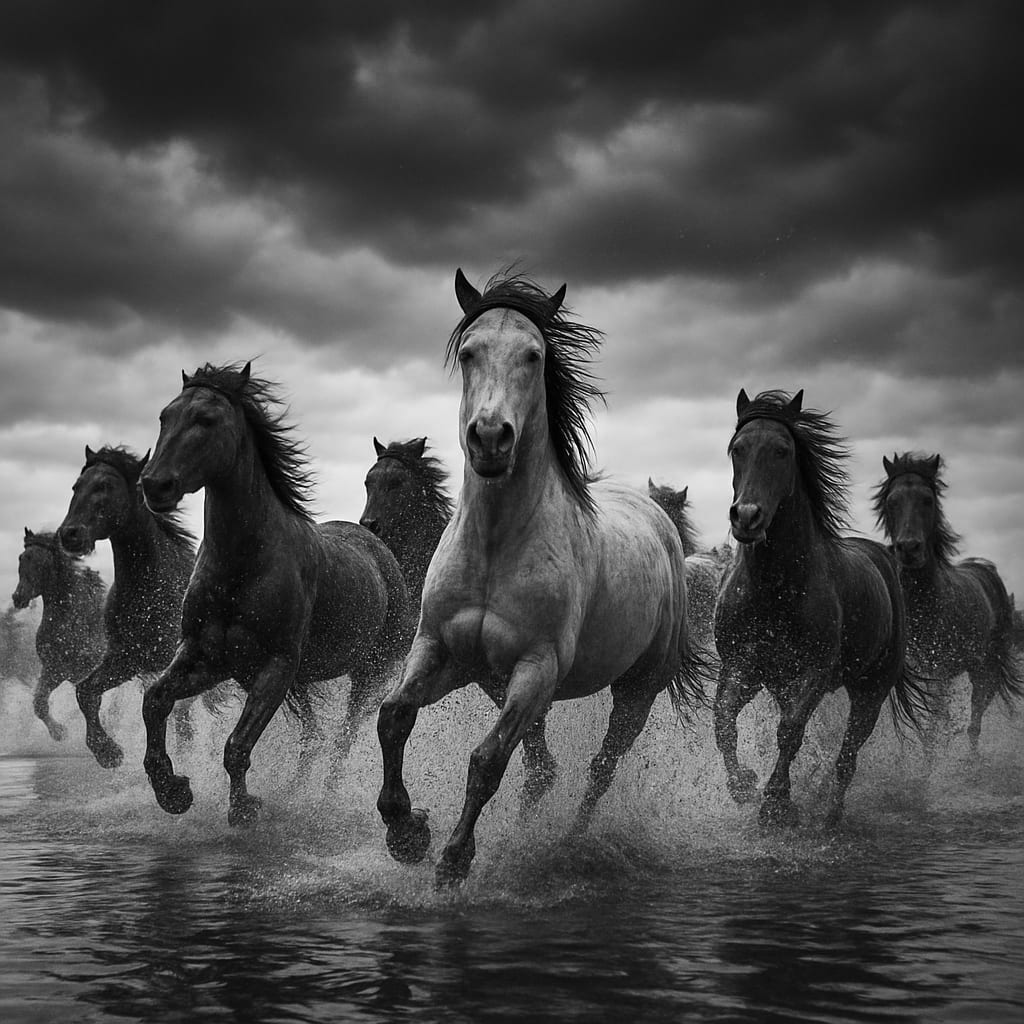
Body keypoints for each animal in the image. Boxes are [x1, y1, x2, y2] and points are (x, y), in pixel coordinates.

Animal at [11, 529, 106, 739]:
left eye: (41, 561)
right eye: (21, 557)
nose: (18, 597)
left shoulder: (81, 672)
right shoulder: (53, 670)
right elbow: (39, 703)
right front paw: (59, 732)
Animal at [57, 445, 199, 767]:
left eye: (105, 486)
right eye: (75, 487)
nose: (69, 534)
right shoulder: (127, 658)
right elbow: (85, 691)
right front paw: (107, 751)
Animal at [138, 361, 412, 827]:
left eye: (206, 419)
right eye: (164, 416)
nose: (155, 484)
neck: (242, 564)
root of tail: (380, 548)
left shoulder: (277, 667)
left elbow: (236, 746)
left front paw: (244, 809)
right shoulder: (207, 658)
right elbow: (154, 701)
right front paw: (173, 790)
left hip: (371, 673)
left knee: (344, 736)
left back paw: (325, 795)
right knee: (314, 737)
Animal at [714, 389, 921, 828]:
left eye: (782, 450)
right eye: (737, 448)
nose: (746, 517)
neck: (775, 587)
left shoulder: (814, 669)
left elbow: (789, 731)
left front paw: (777, 804)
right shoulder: (742, 665)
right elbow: (723, 722)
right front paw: (744, 786)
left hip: (871, 689)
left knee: (849, 752)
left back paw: (829, 809)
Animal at [873, 452, 1022, 757]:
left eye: (927, 500)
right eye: (892, 501)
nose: (909, 548)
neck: (924, 606)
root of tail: (984, 569)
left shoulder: (937, 673)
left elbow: (932, 728)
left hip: (984, 668)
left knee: (976, 716)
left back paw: (972, 759)